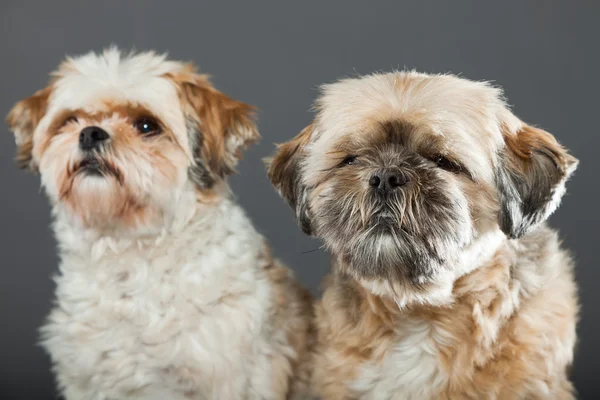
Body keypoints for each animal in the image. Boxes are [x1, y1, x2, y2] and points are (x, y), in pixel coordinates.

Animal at [4, 47, 312, 400]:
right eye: (71, 120)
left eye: (147, 125)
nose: (90, 133)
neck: (130, 250)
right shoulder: (89, 378)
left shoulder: (227, 377)